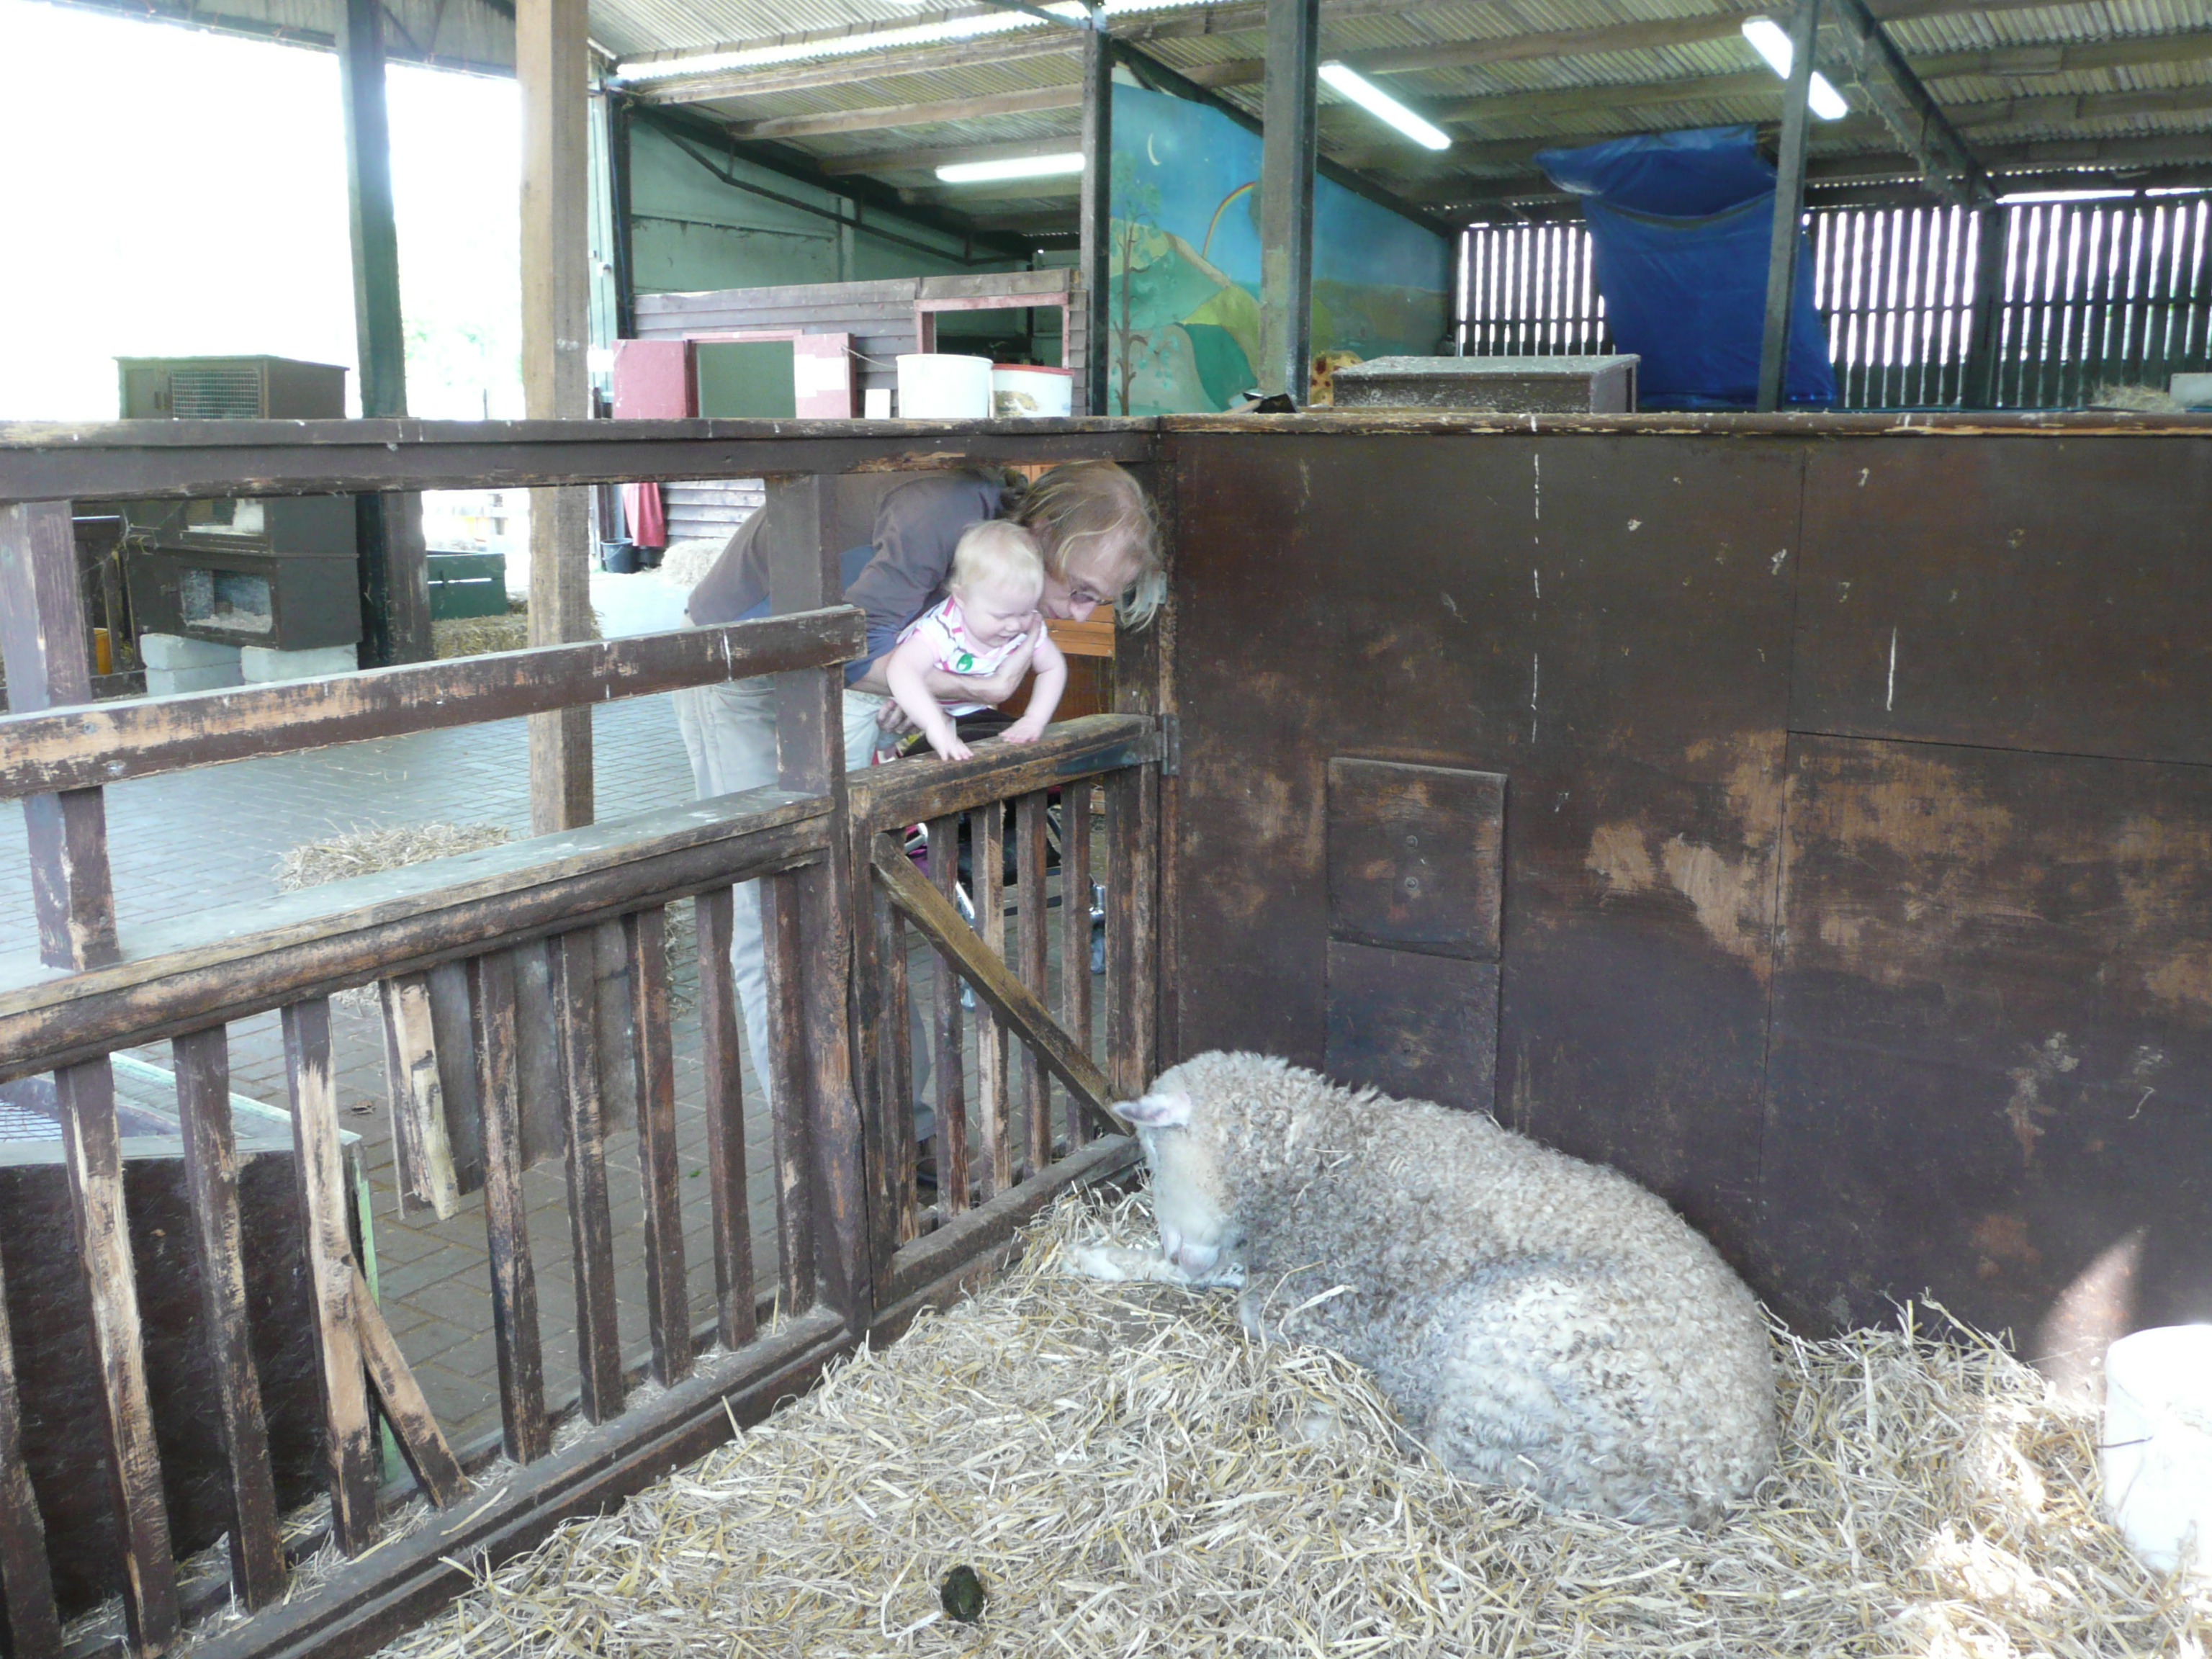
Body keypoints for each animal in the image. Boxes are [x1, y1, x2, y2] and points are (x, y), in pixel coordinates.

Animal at [1076, 1050, 1778, 1525]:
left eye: (1154, 1155)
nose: (1174, 1245)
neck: (1318, 1162)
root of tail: (1720, 1483)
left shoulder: (1306, 1297)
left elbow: (1237, 1294)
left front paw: (1101, 1258)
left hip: (1506, 1359)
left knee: (1442, 1461)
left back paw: (1321, 1427)